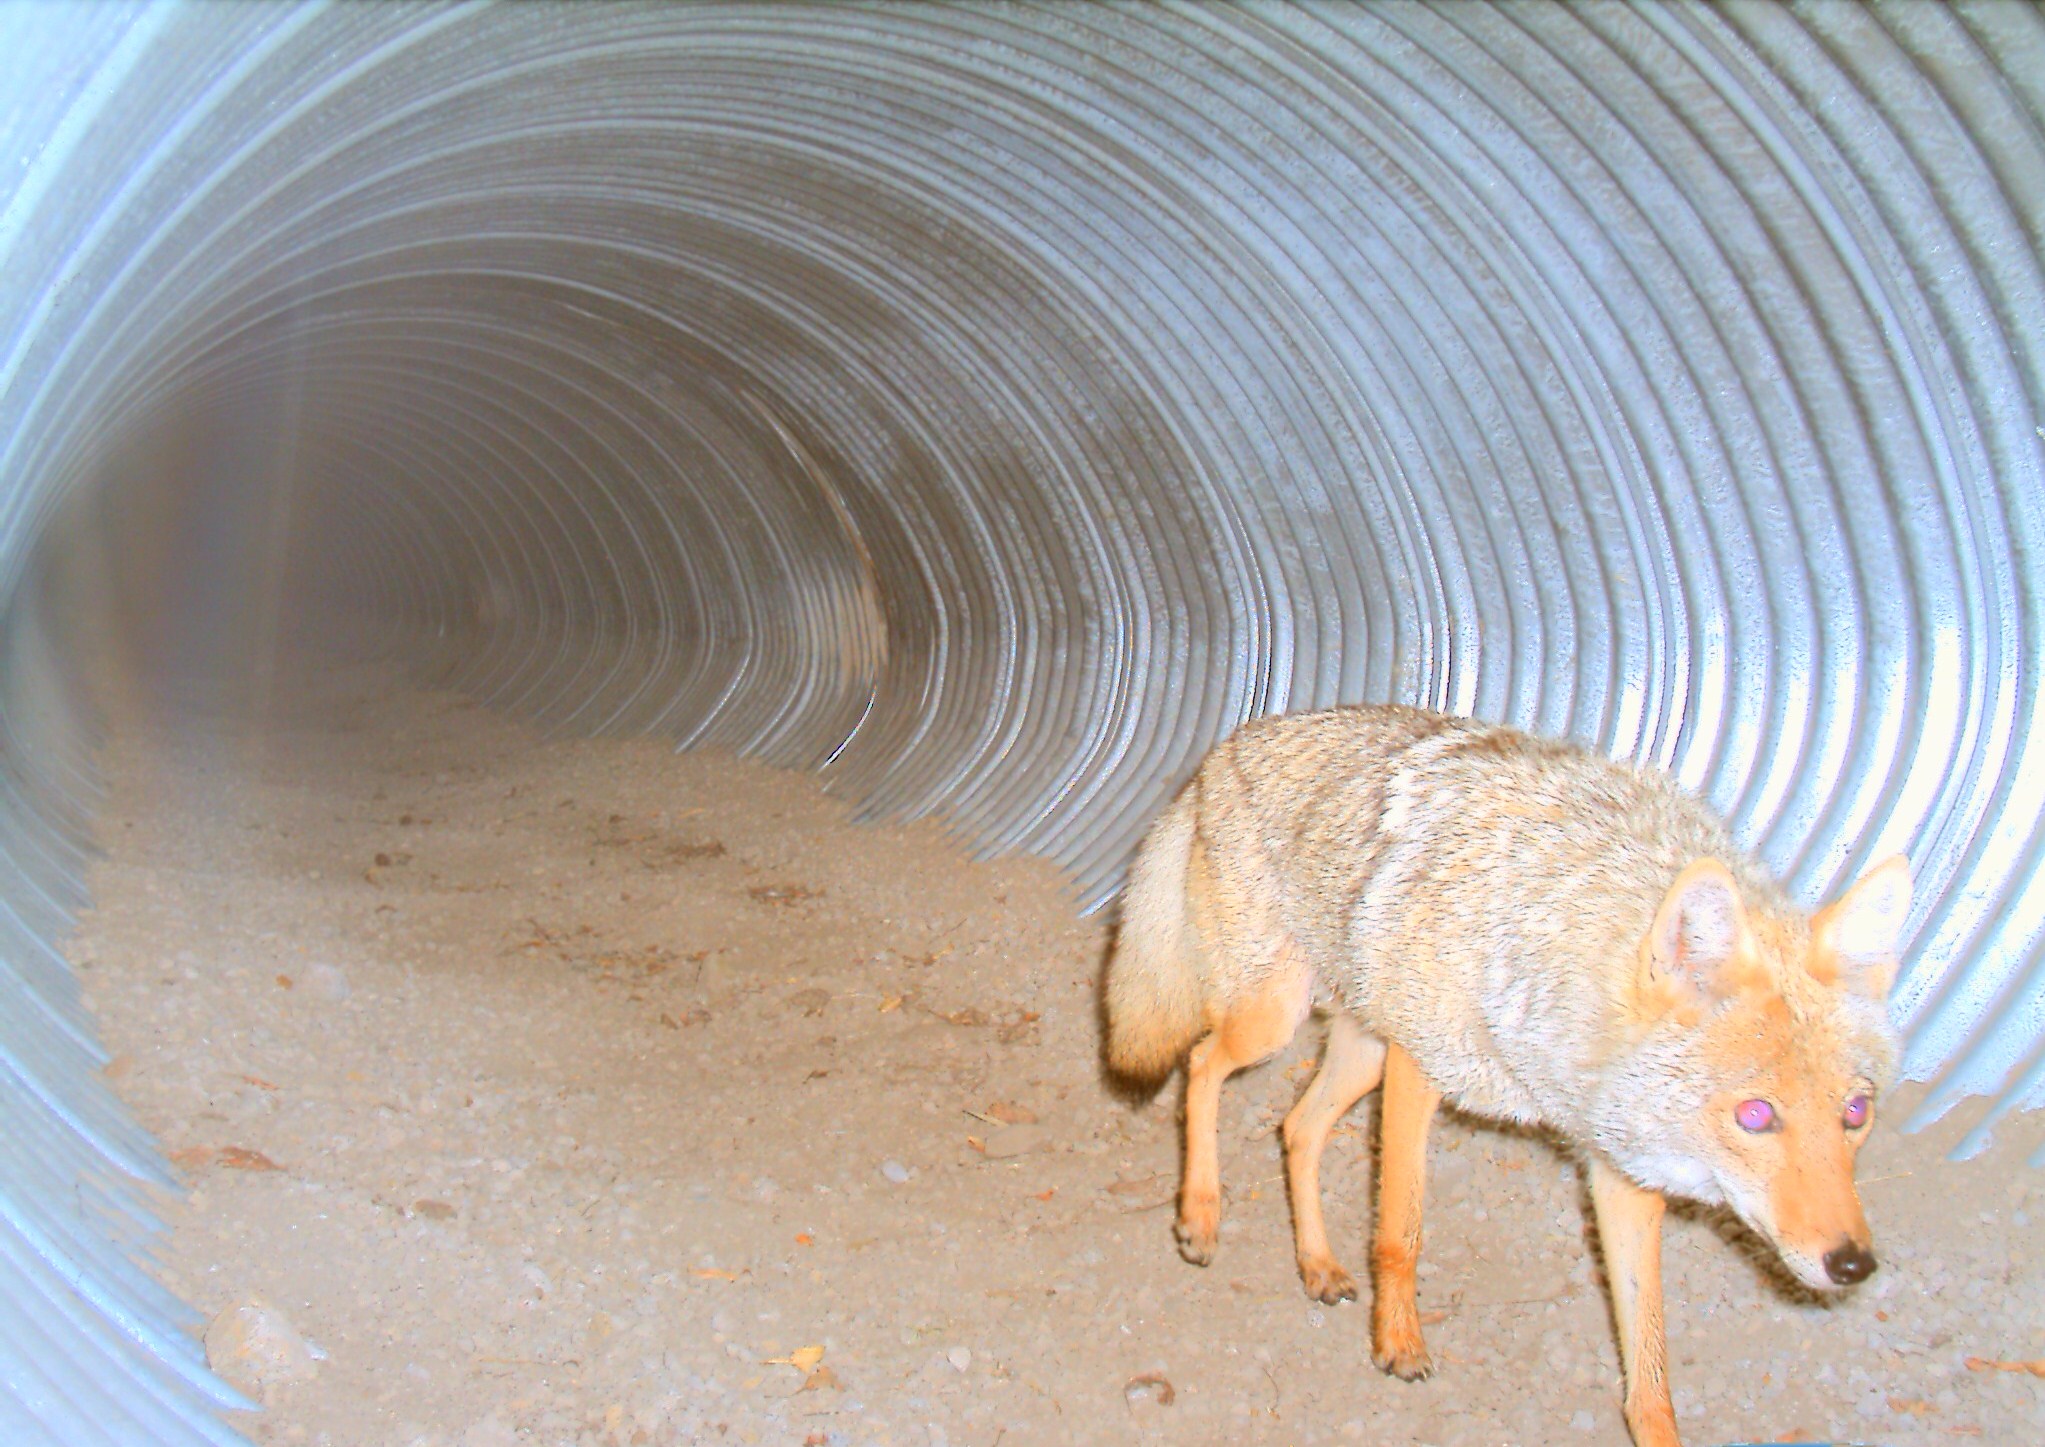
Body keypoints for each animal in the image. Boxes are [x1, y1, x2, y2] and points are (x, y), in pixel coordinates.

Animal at [1103, 704, 1909, 1447]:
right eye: (1755, 1115)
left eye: (1855, 1112)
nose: (1854, 1265)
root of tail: (1230, 744)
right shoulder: (1420, 1065)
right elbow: (1400, 1232)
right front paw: (1398, 1343)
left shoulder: (1620, 1169)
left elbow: (1649, 1360)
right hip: (1274, 1022)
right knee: (1200, 1065)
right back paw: (1200, 1216)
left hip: (1358, 1053)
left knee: (1294, 1126)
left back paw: (1318, 1265)